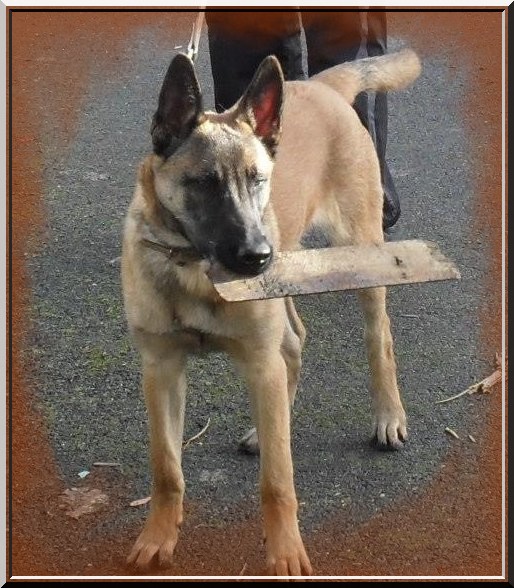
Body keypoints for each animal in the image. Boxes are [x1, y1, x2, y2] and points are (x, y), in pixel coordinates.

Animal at [121, 49, 420, 576]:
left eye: (258, 180)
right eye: (204, 184)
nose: (257, 255)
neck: (195, 270)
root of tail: (321, 84)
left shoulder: (259, 365)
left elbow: (277, 481)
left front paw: (285, 554)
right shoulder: (161, 371)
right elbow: (166, 469)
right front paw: (158, 537)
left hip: (359, 254)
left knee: (378, 337)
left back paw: (388, 416)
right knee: (295, 341)